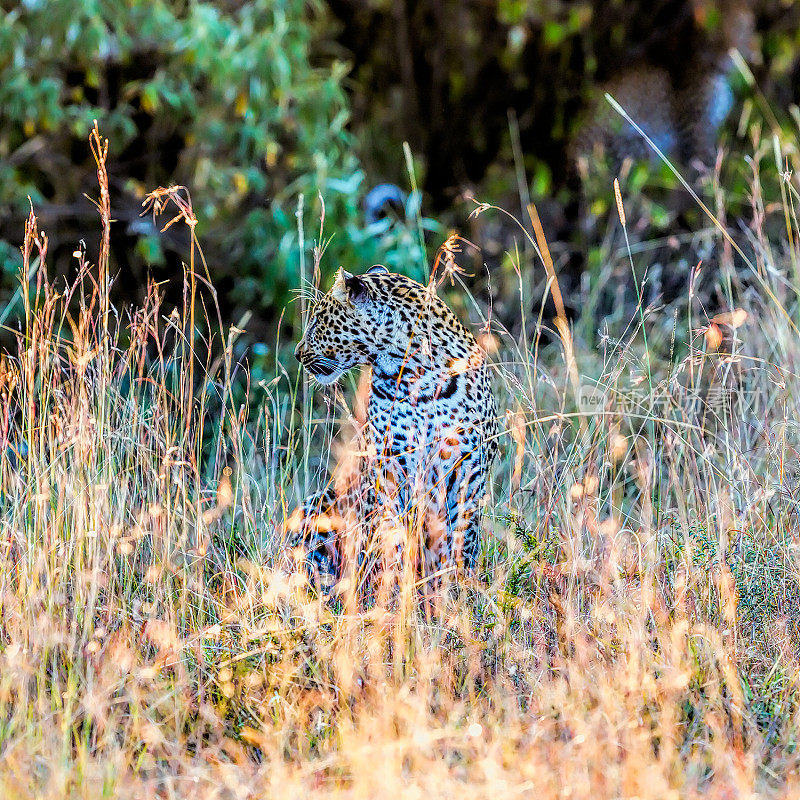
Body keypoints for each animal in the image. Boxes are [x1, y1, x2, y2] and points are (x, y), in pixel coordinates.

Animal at [288, 266, 496, 592]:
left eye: (318, 319)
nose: (298, 353)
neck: (415, 373)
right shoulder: (391, 467)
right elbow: (392, 537)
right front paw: (393, 594)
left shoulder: (467, 470)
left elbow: (460, 542)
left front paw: (458, 592)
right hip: (321, 500)